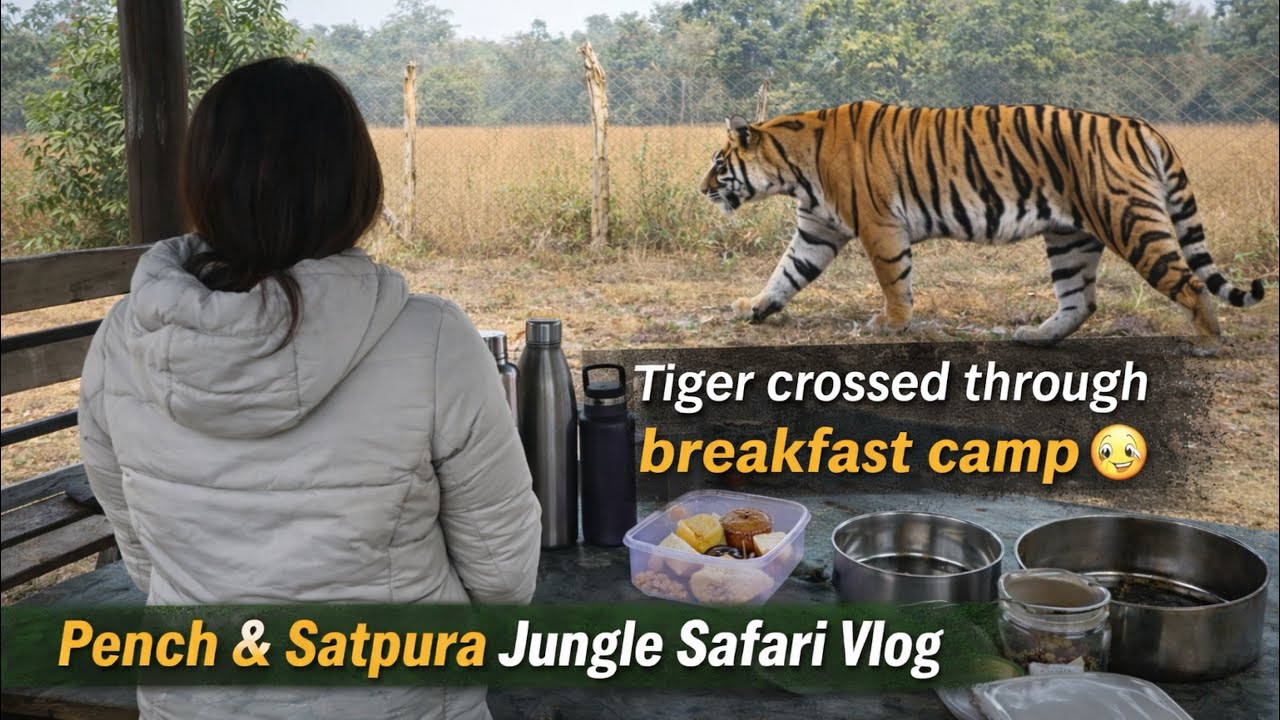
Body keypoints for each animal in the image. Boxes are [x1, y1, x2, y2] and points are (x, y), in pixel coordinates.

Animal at [699, 101, 1265, 356]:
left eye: (719, 163)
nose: (702, 189)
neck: (794, 169)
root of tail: (1141, 125)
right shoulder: (818, 228)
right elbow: (785, 273)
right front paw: (754, 308)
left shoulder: (879, 225)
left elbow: (893, 280)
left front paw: (891, 324)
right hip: (1070, 237)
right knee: (1080, 301)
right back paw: (1035, 336)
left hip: (1128, 220)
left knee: (1189, 282)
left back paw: (1208, 343)